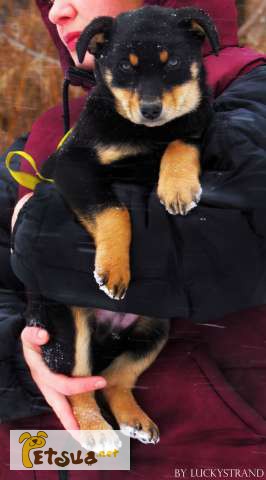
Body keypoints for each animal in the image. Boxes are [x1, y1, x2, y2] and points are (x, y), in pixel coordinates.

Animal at [33, 4, 220, 450]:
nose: (150, 110)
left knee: (116, 378)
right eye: (123, 67)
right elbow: (114, 210)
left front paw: (177, 187)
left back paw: (135, 420)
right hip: (67, 323)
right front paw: (114, 271)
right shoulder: (73, 167)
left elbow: (181, 139)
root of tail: (109, 329)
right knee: (80, 382)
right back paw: (97, 432)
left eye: (172, 65)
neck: (142, 136)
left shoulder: (198, 123)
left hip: (154, 329)